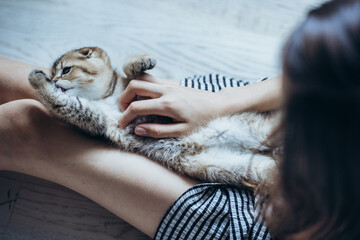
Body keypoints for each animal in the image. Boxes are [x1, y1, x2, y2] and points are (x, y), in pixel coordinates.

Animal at [28, 46, 282, 188]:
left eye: (66, 70)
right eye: (55, 72)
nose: (55, 79)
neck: (109, 96)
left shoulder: (143, 90)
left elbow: (133, 73)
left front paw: (138, 62)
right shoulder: (95, 117)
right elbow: (61, 102)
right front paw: (39, 80)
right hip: (257, 170)